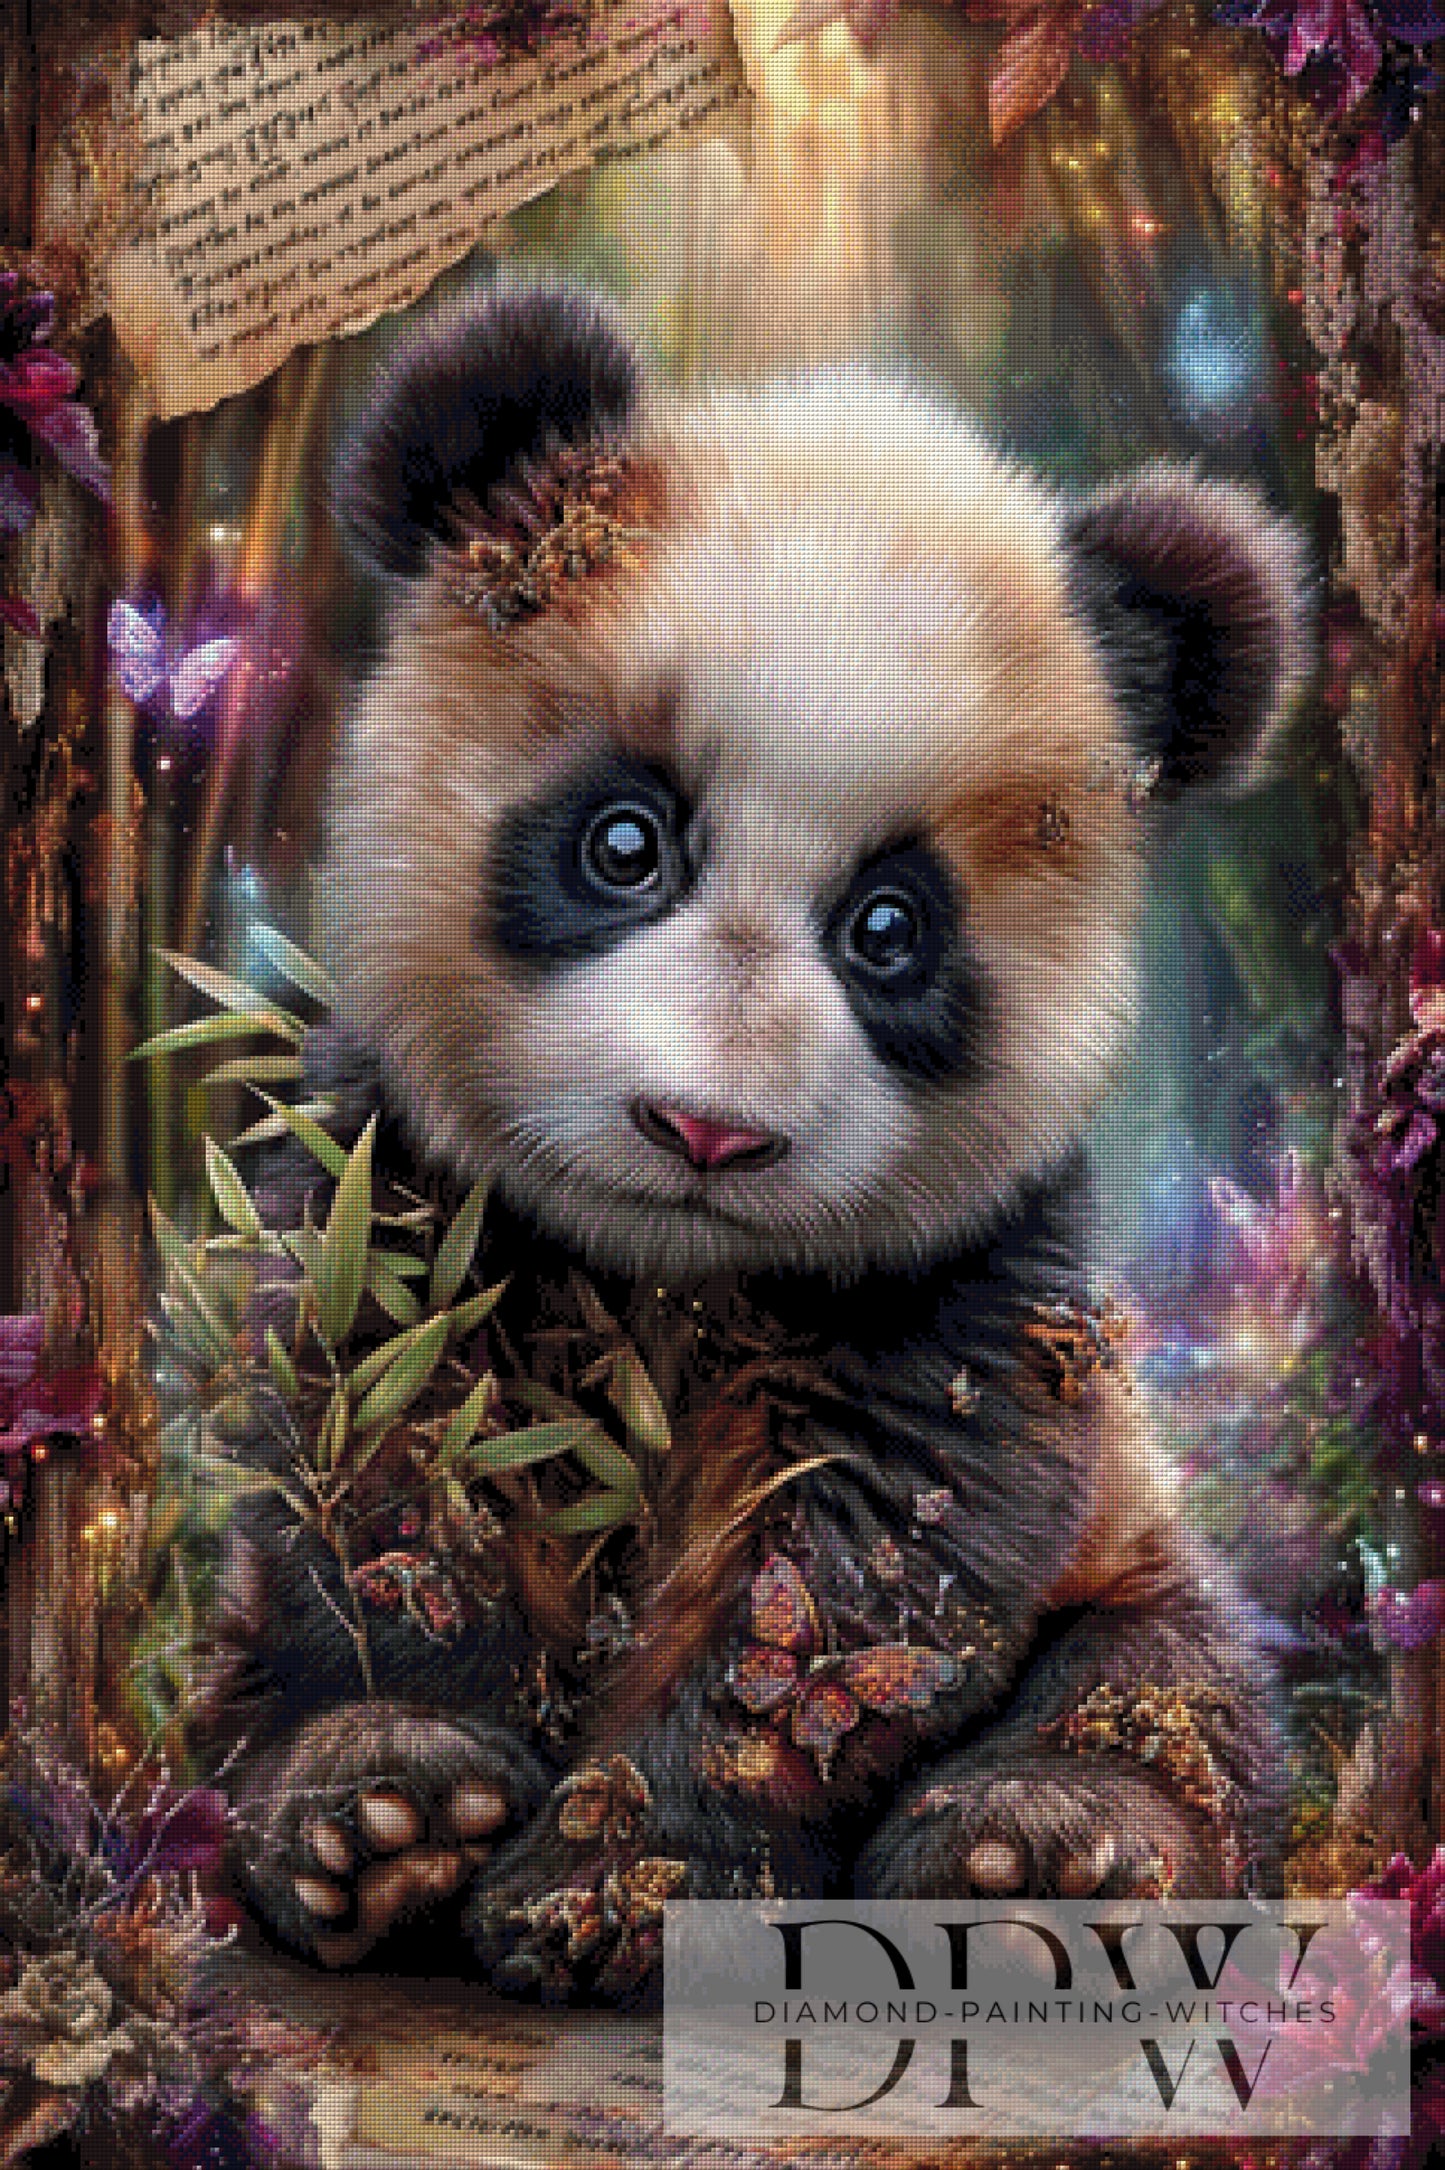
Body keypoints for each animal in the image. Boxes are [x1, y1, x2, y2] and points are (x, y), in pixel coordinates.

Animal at [199, 280, 1309, 2001]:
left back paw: (1039, 1858)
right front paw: (401, 1800)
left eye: (891, 928)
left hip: (1136, 1547)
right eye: (624, 841)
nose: (704, 1130)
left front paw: (620, 1883)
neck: (665, 1276)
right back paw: (352, 1823)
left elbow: (843, 1591)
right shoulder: (403, 1199)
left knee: (1168, 1686)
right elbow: (383, 1454)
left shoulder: (968, 1283)